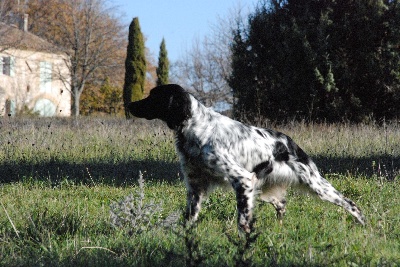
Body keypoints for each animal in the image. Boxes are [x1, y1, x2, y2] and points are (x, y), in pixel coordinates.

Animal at [129, 85, 366, 233]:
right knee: (282, 203)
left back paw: (364, 225)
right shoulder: (196, 186)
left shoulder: (242, 179)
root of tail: (290, 142)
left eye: (154, 96)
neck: (196, 126)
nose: (130, 104)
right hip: (263, 188)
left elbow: (242, 220)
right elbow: (189, 217)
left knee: (351, 203)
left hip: (315, 185)